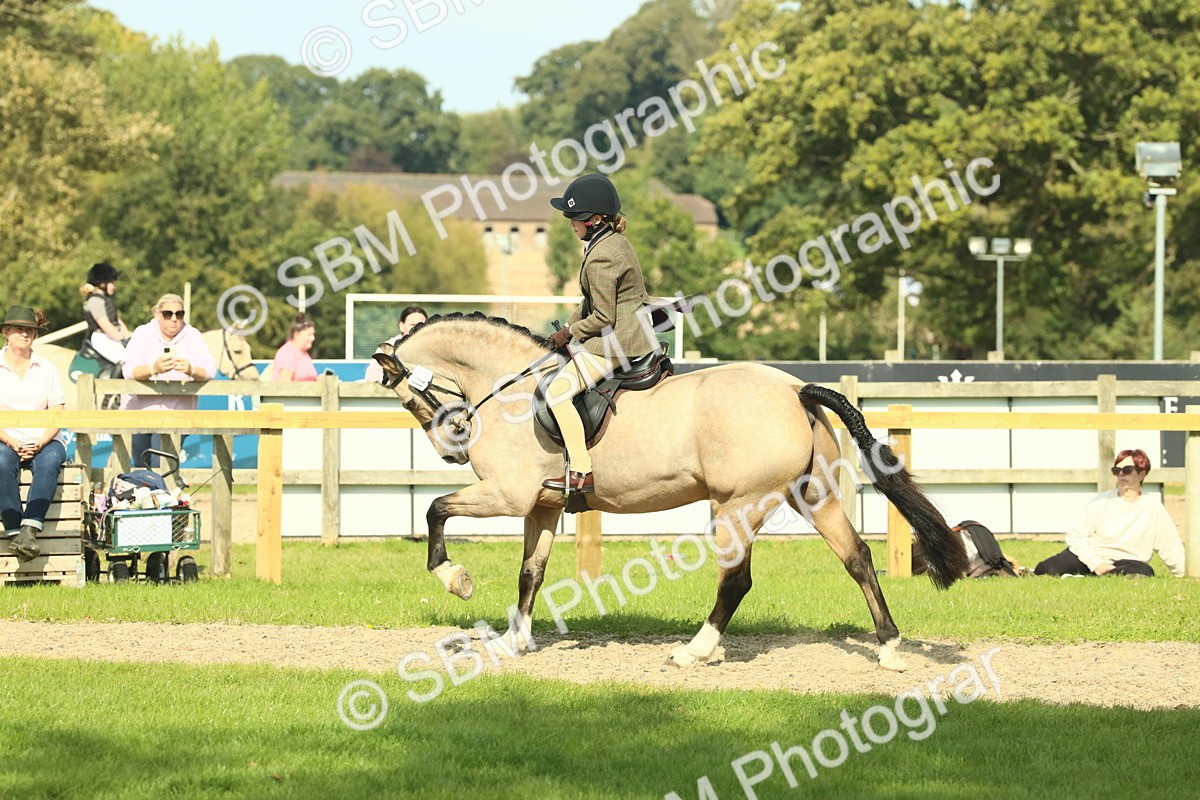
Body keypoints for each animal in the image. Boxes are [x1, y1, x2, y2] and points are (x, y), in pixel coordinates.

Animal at [372, 313, 969, 671]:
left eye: (409, 398)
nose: (452, 449)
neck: (513, 391)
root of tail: (795, 389)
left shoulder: (506, 495)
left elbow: (435, 510)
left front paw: (456, 579)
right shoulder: (539, 506)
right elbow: (530, 573)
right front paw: (513, 640)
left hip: (736, 505)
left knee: (737, 580)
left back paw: (695, 651)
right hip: (813, 495)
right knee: (857, 557)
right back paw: (889, 648)